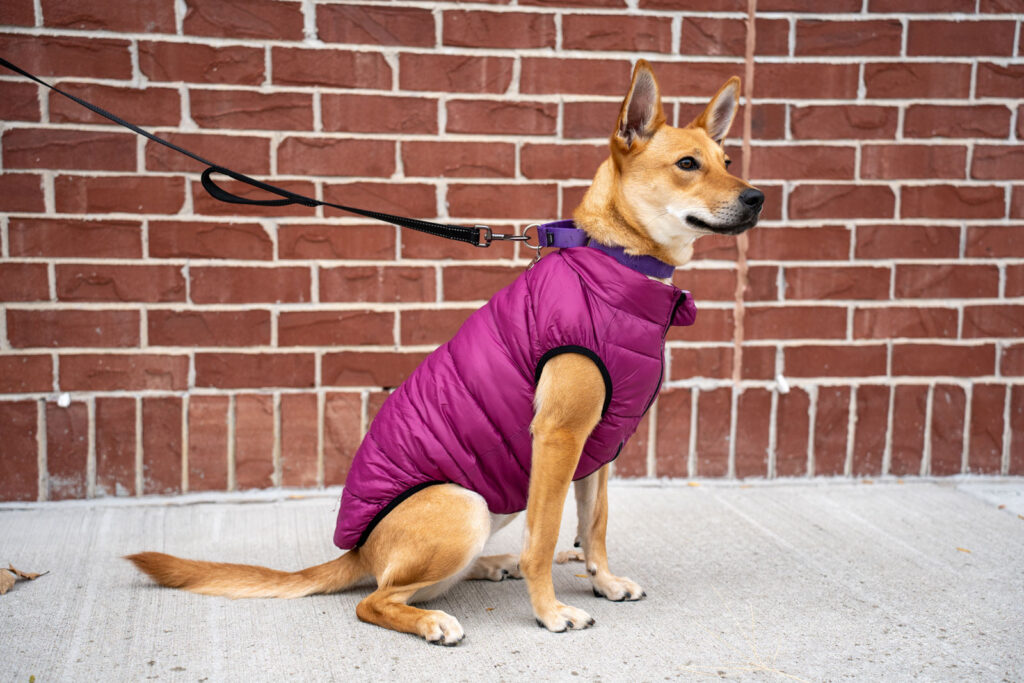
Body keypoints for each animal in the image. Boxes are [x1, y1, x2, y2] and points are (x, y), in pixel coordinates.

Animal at [125, 58, 761, 647]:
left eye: (727, 161)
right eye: (687, 164)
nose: (757, 197)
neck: (617, 265)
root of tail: (358, 552)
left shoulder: (599, 448)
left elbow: (595, 524)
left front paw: (603, 581)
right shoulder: (558, 437)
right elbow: (546, 536)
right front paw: (550, 611)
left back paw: (491, 566)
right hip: (462, 502)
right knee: (376, 599)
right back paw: (435, 617)